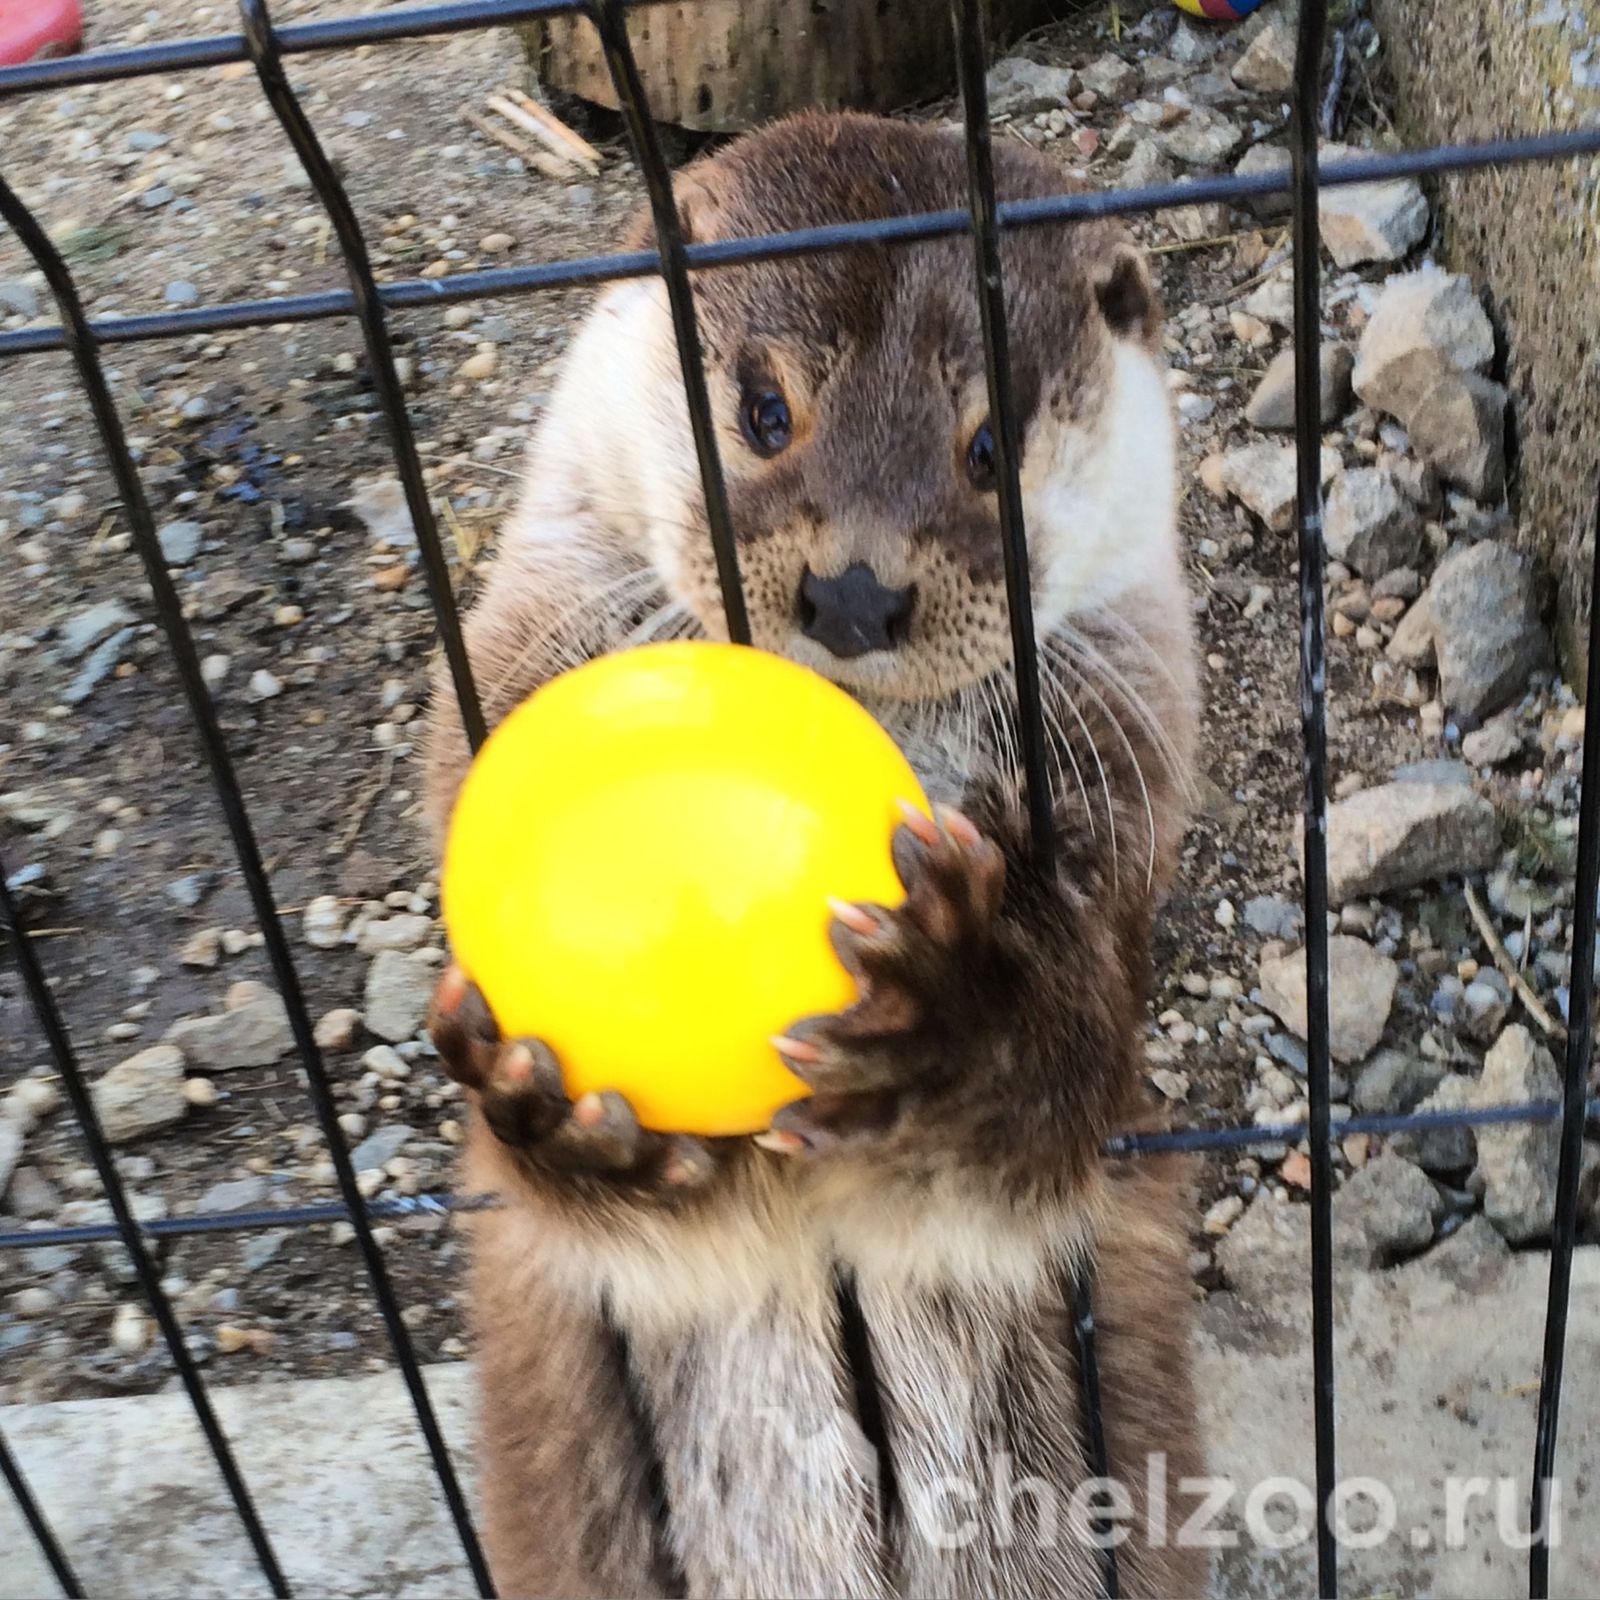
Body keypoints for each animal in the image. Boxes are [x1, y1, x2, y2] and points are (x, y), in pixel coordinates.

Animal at [422, 112, 1203, 1600]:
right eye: (763, 410)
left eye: (988, 444)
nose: (851, 588)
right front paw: (551, 1108)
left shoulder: (1130, 804)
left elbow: (1066, 1088)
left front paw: (956, 1007)